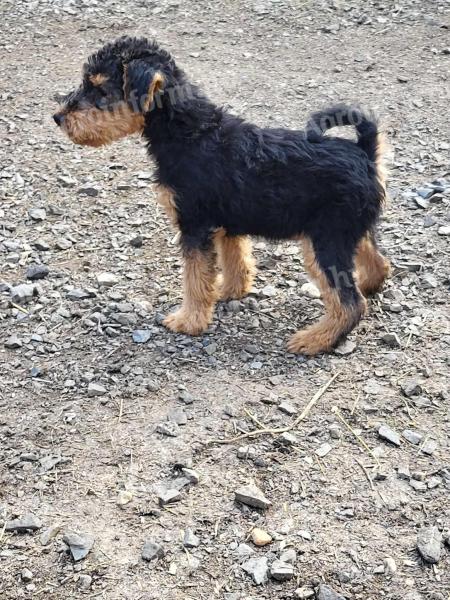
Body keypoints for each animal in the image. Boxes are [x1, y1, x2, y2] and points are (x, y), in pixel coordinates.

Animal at [53, 36, 390, 356]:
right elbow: (234, 260)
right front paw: (230, 290)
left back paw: (315, 340)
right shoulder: (228, 222)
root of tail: (365, 153)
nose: (58, 117)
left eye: (100, 89)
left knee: (349, 304)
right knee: (378, 263)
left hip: (324, 240)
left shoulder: (193, 225)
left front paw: (189, 321)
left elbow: (194, 278)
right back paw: (367, 285)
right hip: (347, 230)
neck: (188, 132)